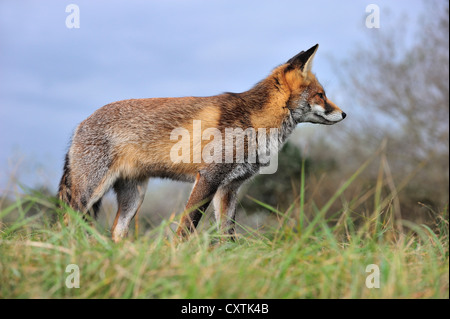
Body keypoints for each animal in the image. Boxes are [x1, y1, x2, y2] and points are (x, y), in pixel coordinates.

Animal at [56, 44, 344, 242]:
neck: (255, 120)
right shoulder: (208, 177)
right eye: (321, 95)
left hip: (133, 197)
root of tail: (81, 123)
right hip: (88, 194)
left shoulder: (229, 188)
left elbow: (228, 236)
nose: (344, 114)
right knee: (66, 226)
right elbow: (186, 228)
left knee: (116, 232)